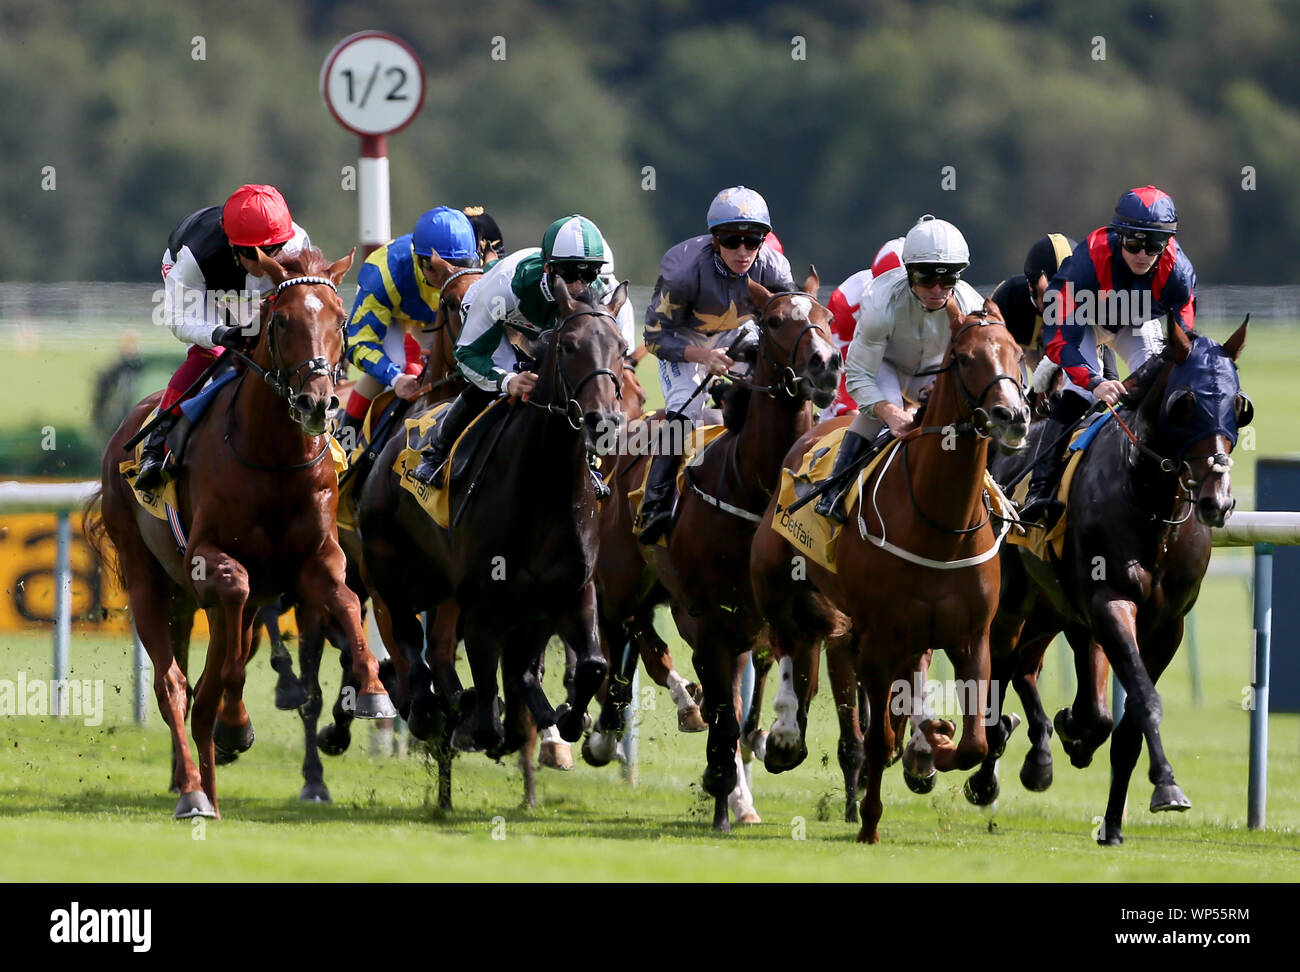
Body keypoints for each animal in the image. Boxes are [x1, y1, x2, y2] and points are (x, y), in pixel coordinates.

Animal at [87, 246, 395, 816]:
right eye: (283, 321)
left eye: (340, 320)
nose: (318, 403)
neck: (273, 456)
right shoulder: (206, 560)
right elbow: (232, 603)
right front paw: (236, 726)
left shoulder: (317, 558)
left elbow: (342, 599)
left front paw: (372, 689)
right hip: (147, 577)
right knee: (174, 683)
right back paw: (191, 789)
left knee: (210, 673)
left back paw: (207, 785)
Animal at [358, 275, 631, 805]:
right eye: (569, 346)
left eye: (622, 348)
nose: (603, 422)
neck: (545, 486)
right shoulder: (481, 601)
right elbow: (485, 703)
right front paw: (474, 722)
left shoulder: (572, 590)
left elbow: (588, 665)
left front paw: (569, 721)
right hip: (388, 567)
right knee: (406, 639)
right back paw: (421, 706)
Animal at [598, 268, 842, 831]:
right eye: (774, 320)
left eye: (824, 317)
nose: (826, 363)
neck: (753, 486)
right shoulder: (706, 618)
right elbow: (725, 716)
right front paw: (719, 783)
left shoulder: (776, 616)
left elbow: (783, 686)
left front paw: (772, 748)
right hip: (621, 583)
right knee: (625, 635)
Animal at [748, 297, 1029, 842]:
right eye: (965, 358)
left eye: (1017, 353)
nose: (1013, 415)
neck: (940, 523)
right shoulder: (876, 639)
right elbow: (874, 736)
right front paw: (869, 825)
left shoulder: (972, 638)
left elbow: (975, 743)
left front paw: (935, 742)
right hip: (773, 580)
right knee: (787, 643)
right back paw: (785, 734)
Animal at [972, 317, 1253, 842]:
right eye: (1184, 403)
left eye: (1239, 405)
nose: (1218, 501)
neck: (1152, 505)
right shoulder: (1110, 601)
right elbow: (1143, 698)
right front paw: (1166, 786)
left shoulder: (1166, 625)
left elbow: (1124, 724)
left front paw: (1113, 821)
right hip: (1015, 604)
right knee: (999, 669)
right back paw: (988, 772)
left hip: (1055, 609)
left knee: (1032, 669)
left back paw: (1052, 745)